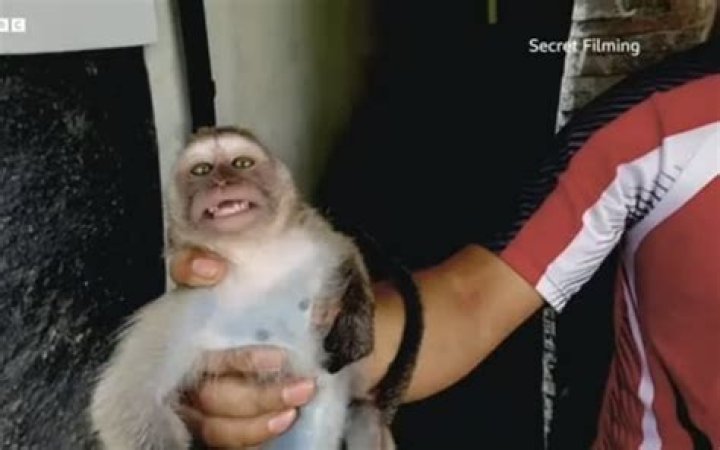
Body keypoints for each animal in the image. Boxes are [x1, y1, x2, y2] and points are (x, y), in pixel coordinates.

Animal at [89, 126, 399, 450]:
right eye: (202, 170)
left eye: (241, 163)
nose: (223, 182)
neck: (255, 259)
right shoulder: (186, 309)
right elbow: (125, 402)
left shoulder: (314, 243)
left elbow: (346, 249)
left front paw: (356, 326)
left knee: (363, 412)